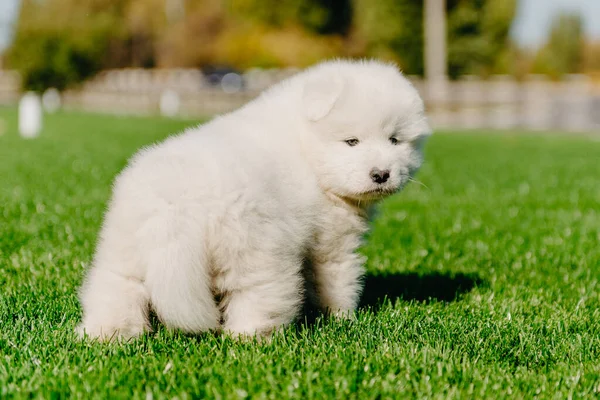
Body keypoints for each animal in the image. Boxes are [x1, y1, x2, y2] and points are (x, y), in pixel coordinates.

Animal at [76, 59, 432, 340]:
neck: (306, 147)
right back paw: (252, 338)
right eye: (352, 141)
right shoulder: (333, 242)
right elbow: (337, 281)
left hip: (125, 248)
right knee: (257, 294)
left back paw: (107, 334)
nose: (382, 174)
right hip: (256, 250)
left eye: (395, 140)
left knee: (117, 288)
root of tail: (177, 207)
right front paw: (342, 318)